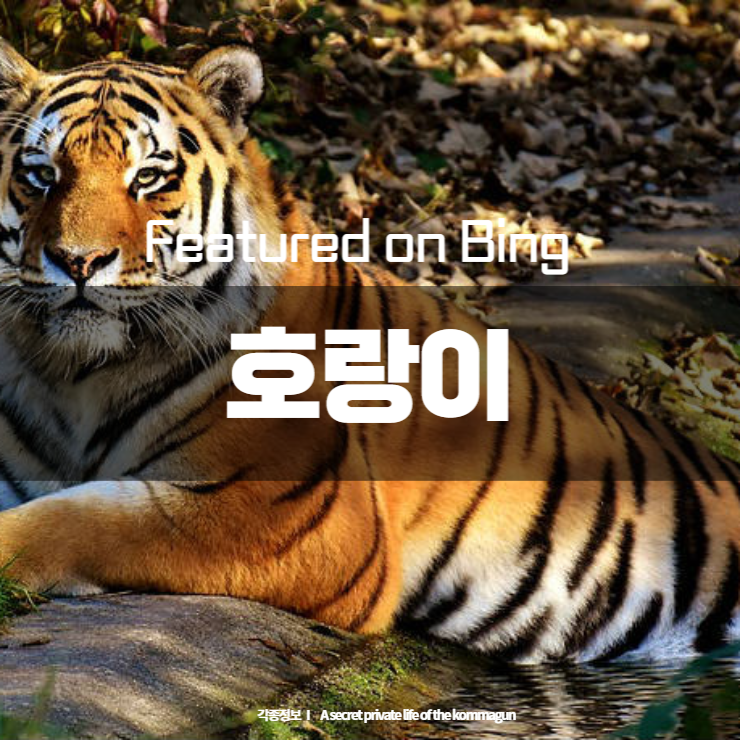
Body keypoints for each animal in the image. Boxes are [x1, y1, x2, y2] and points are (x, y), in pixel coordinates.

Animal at [0, 39, 738, 664]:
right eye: (41, 174)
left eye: (149, 178)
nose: (77, 261)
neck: (76, 375)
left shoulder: (287, 515)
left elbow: (79, 521)